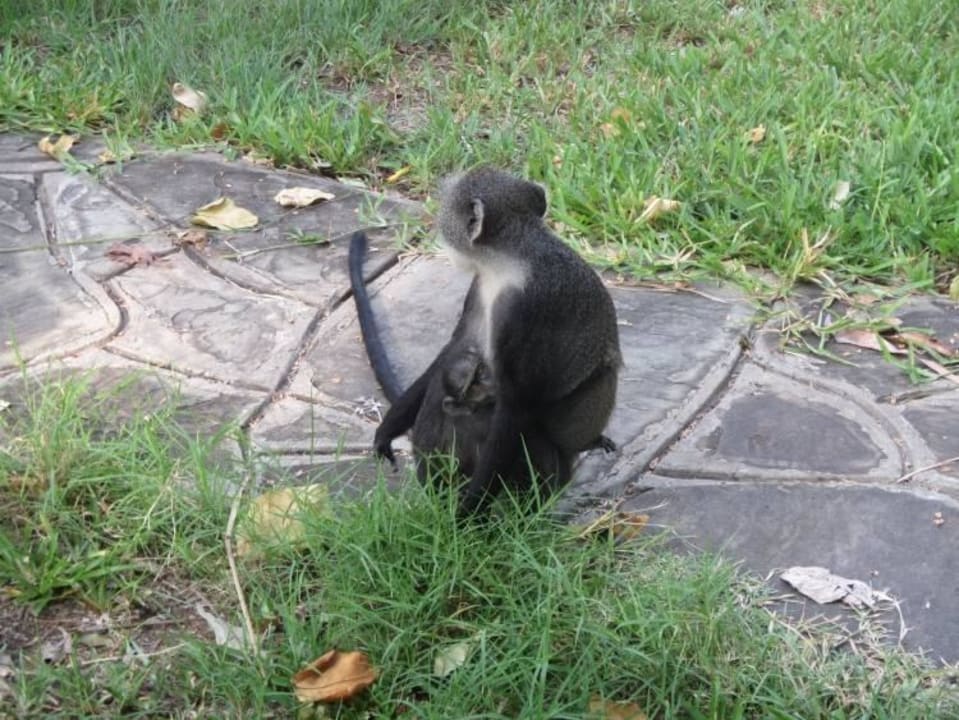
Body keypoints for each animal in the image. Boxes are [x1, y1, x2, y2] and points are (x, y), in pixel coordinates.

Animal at [349, 166, 621, 515]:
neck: (511, 261)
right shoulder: (481, 286)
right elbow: (452, 350)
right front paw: (388, 430)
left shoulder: (525, 308)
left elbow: (516, 404)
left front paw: (468, 516)